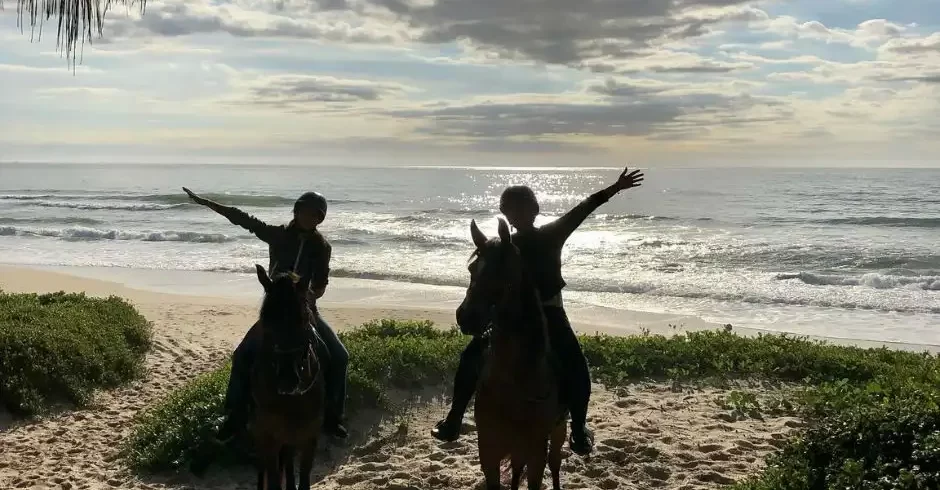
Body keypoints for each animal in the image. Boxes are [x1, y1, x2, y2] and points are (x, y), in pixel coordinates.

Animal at [250, 266, 326, 490]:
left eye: (304, 318)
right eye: (266, 320)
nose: (286, 381)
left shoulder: (309, 437)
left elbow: (304, 478)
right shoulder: (270, 438)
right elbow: (274, 480)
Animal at [456, 219, 564, 490]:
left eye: (503, 270)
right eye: (472, 268)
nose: (466, 316)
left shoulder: (536, 452)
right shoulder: (489, 451)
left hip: (559, 431)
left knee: (555, 463)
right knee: (516, 469)